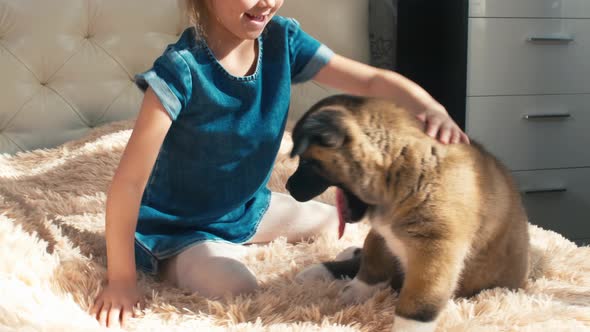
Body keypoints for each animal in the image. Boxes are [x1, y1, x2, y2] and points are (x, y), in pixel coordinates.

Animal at [286, 94, 532, 332]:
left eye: (305, 162)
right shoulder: (381, 235)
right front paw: (354, 292)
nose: (289, 187)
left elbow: (416, 306)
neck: (401, 167)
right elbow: (371, 265)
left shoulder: (434, 253)